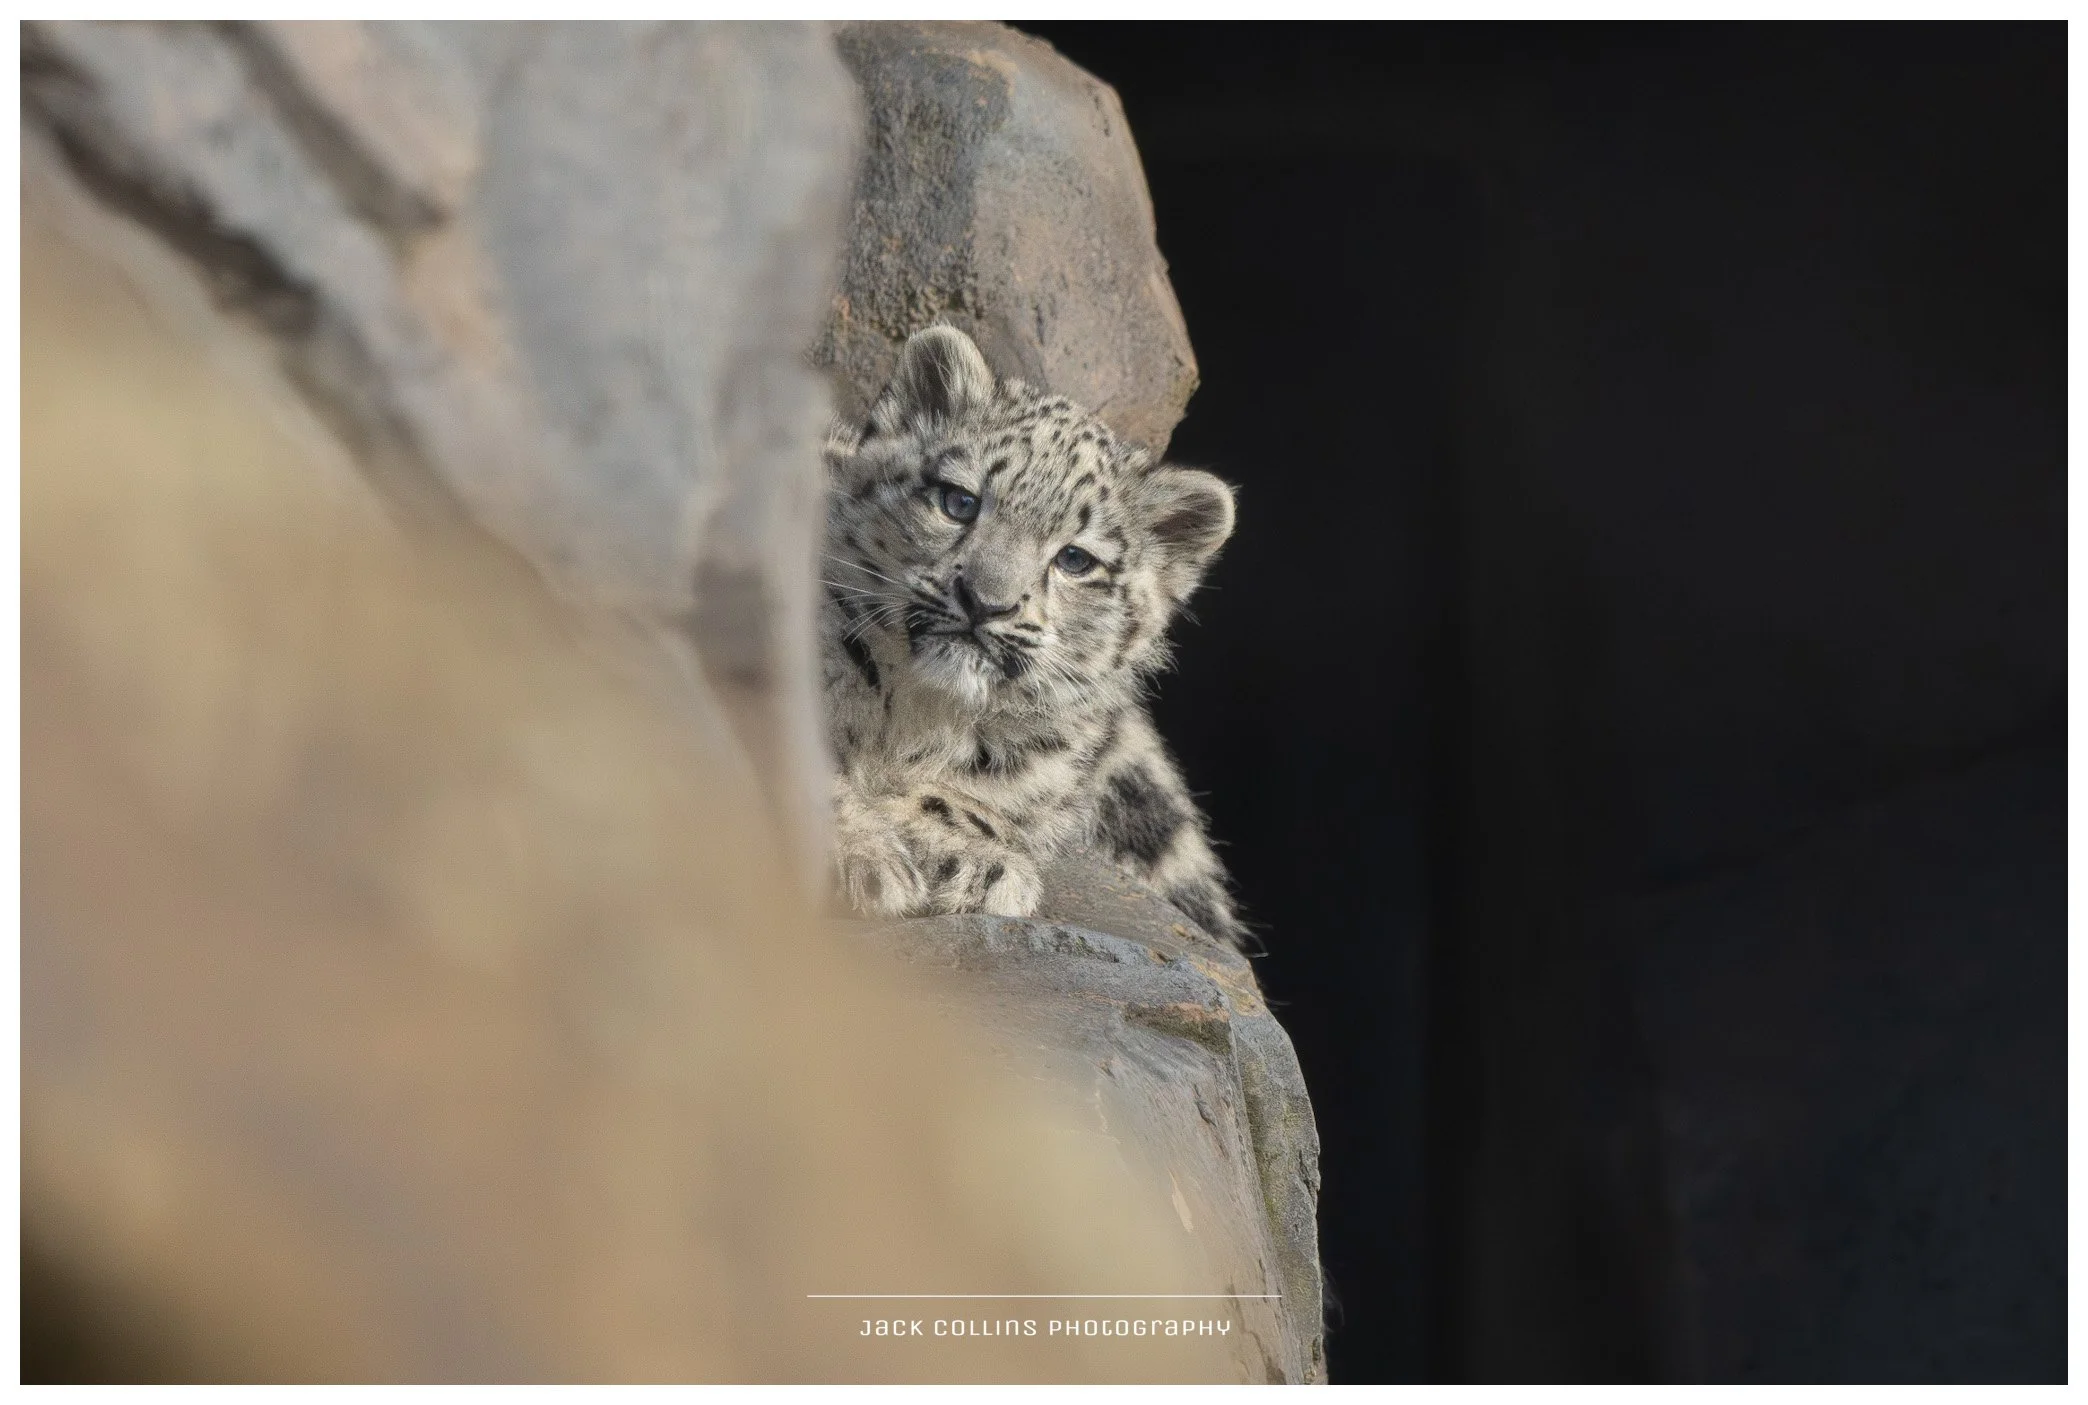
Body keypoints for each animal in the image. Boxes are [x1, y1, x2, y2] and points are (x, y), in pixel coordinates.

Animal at [820, 323, 1246, 949]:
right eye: (959, 501)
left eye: (1075, 559)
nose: (985, 601)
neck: (919, 716)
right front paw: (868, 860)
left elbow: (966, 802)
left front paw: (973, 865)